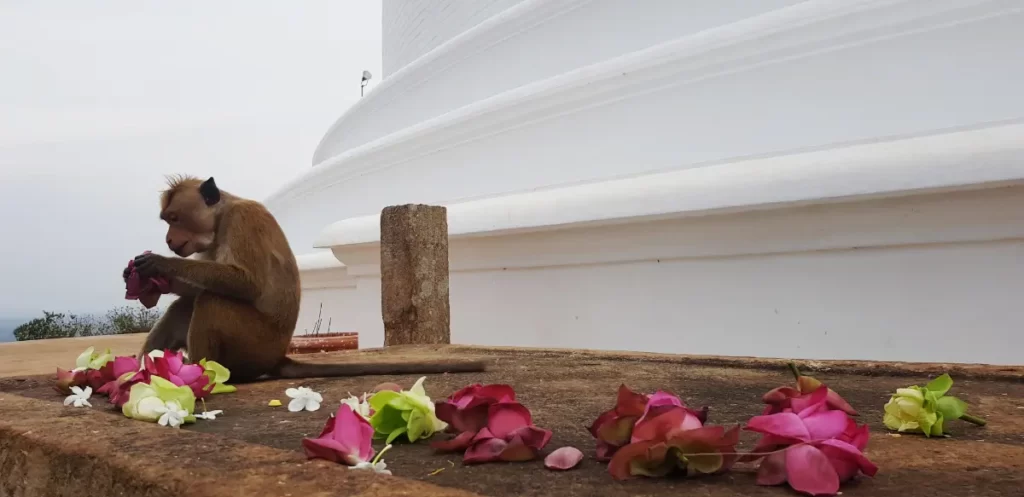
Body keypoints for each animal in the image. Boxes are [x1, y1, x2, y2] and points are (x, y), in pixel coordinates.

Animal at [128, 175, 486, 383]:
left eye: (174, 218)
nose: (169, 240)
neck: (221, 216)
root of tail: (277, 356)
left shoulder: (243, 220)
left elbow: (245, 284)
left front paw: (161, 264)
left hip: (253, 346)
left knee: (212, 302)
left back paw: (208, 378)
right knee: (188, 305)